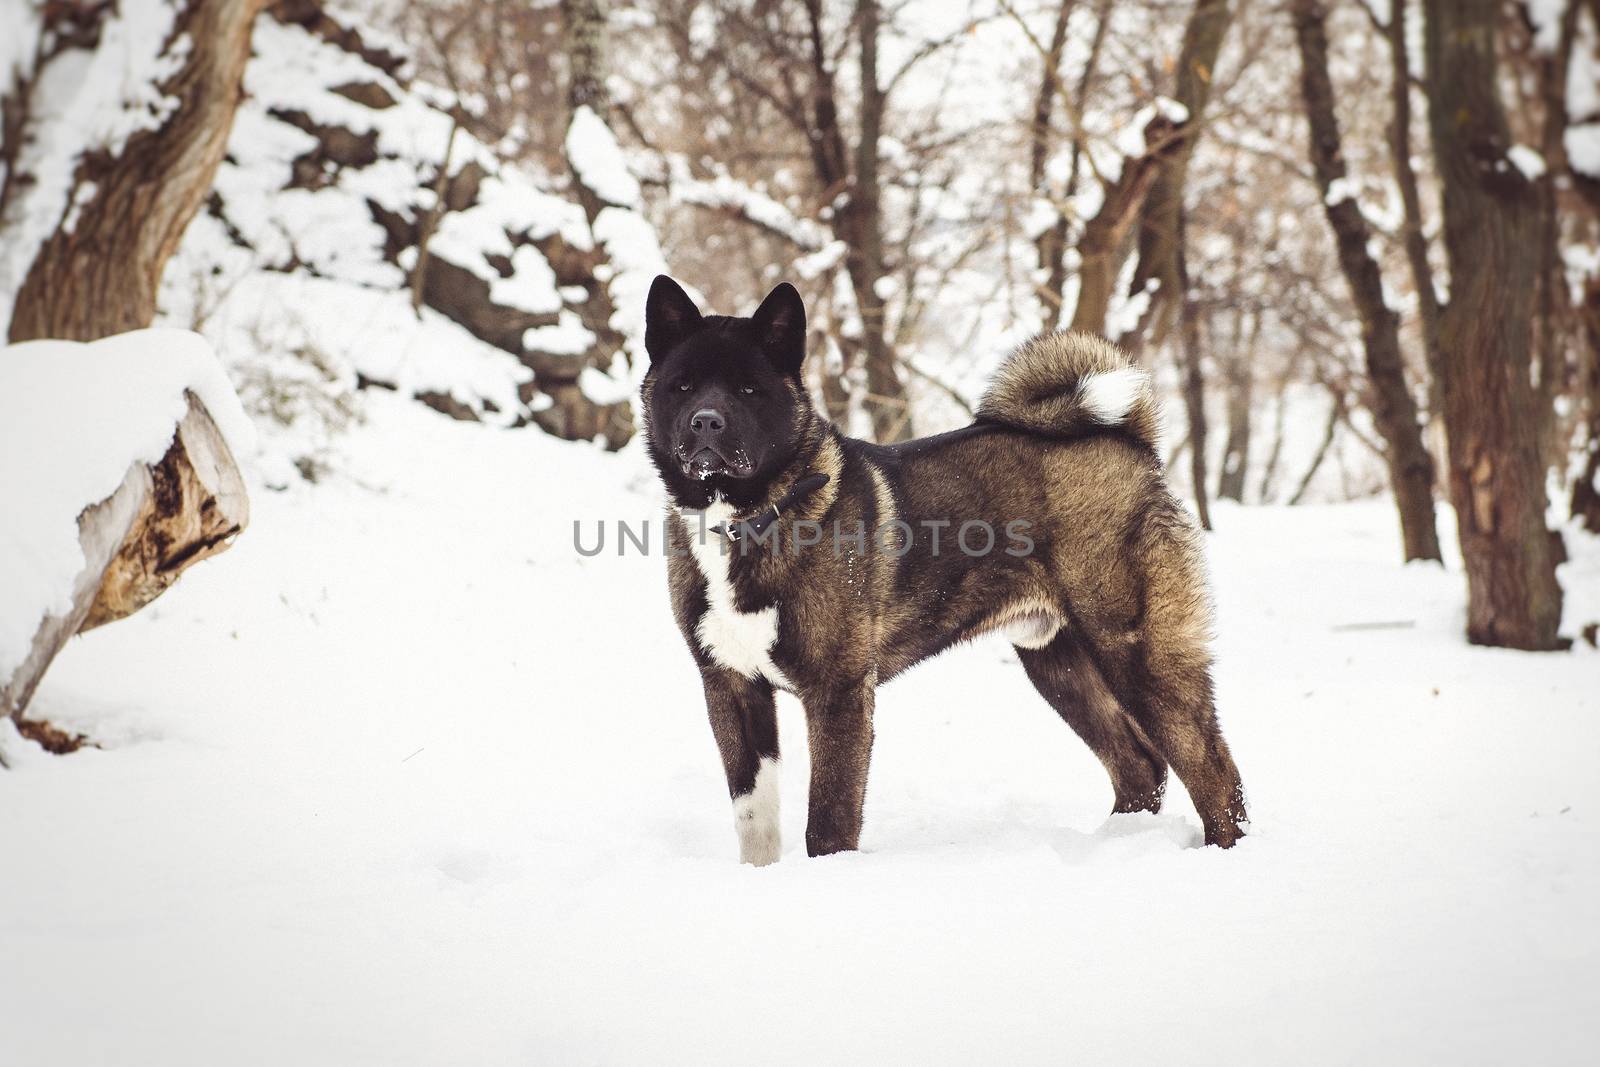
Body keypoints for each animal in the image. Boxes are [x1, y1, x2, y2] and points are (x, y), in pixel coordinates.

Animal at [643, 275, 1241, 870]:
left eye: (749, 390)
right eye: (683, 386)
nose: (706, 421)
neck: (747, 518)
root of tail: (1128, 442)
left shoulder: (838, 693)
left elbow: (829, 822)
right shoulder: (730, 686)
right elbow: (754, 816)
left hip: (1141, 656)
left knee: (1214, 773)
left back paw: (1220, 852)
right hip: (1060, 663)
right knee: (1140, 767)